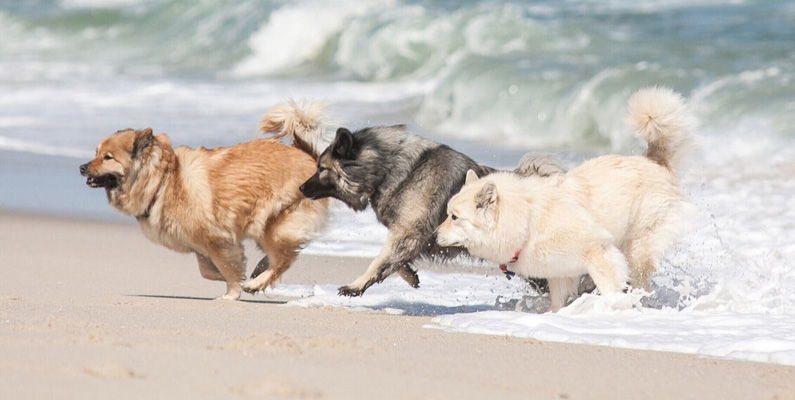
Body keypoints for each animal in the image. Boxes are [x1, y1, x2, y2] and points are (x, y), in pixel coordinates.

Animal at [78, 100, 332, 300]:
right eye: (95, 153)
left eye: (107, 157)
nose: (81, 167)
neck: (163, 182)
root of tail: (309, 156)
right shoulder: (200, 244)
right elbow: (208, 270)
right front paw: (234, 275)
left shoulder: (217, 240)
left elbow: (227, 268)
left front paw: (232, 292)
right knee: (282, 256)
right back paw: (259, 272)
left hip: (274, 224)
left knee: (285, 259)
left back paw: (257, 282)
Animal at [298, 122, 564, 296]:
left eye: (322, 168)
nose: (300, 187)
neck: (392, 169)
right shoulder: (410, 236)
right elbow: (393, 261)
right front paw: (409, 275)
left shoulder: (409, 233)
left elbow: (378, 260)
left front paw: (356, 286)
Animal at [436, 87, 696, 310]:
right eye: (448, 214)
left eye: (454, 217)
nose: (434, 235)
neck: (527, 219)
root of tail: (654, 159)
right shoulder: (560, 273)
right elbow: (558, 301)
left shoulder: (597, 252)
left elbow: (609, 286)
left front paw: (612, 307)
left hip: (637, 247)